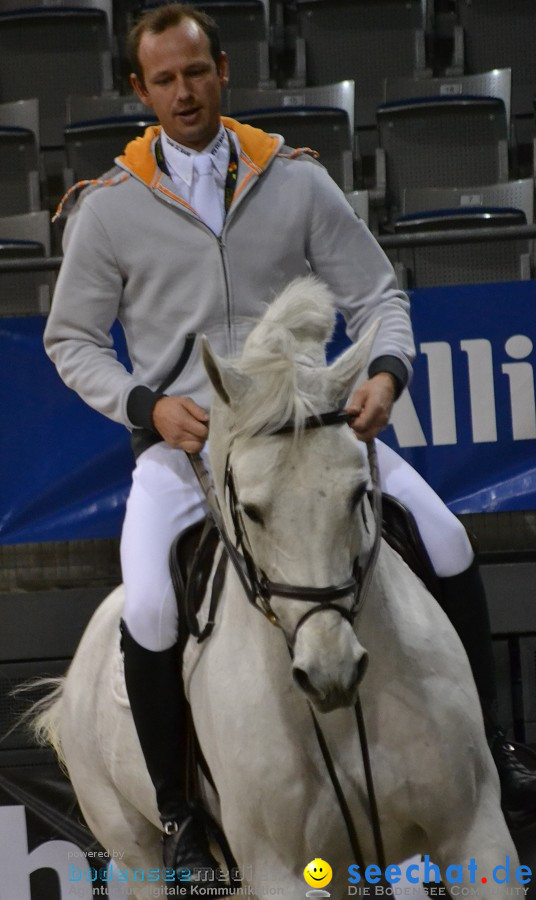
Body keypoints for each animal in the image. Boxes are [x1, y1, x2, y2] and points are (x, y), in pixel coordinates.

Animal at [35, 276, 516, 900]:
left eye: (359, 493)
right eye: (251, 510)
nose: (331, 673)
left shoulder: (473, 834)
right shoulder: (276, 869)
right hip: (137, 853)